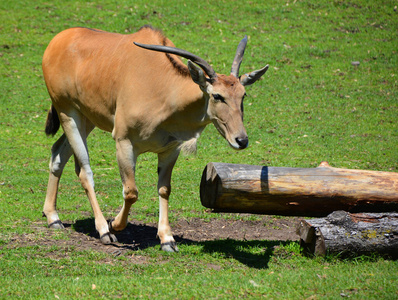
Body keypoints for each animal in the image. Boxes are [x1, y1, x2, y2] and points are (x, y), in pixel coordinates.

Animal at [42, 25, 268, 251]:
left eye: (243, 95)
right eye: (217, 96)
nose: (241, 140)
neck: (162, 86)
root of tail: (58, 40)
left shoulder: (171, 149)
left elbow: (164, 189)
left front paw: (167, 239)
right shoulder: (124, 143)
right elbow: (131, 192)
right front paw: (114, 224)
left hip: (87, 118)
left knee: (57, 154)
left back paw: (53, 217)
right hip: (68, 113)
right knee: (84, 171)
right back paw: (103, 231)